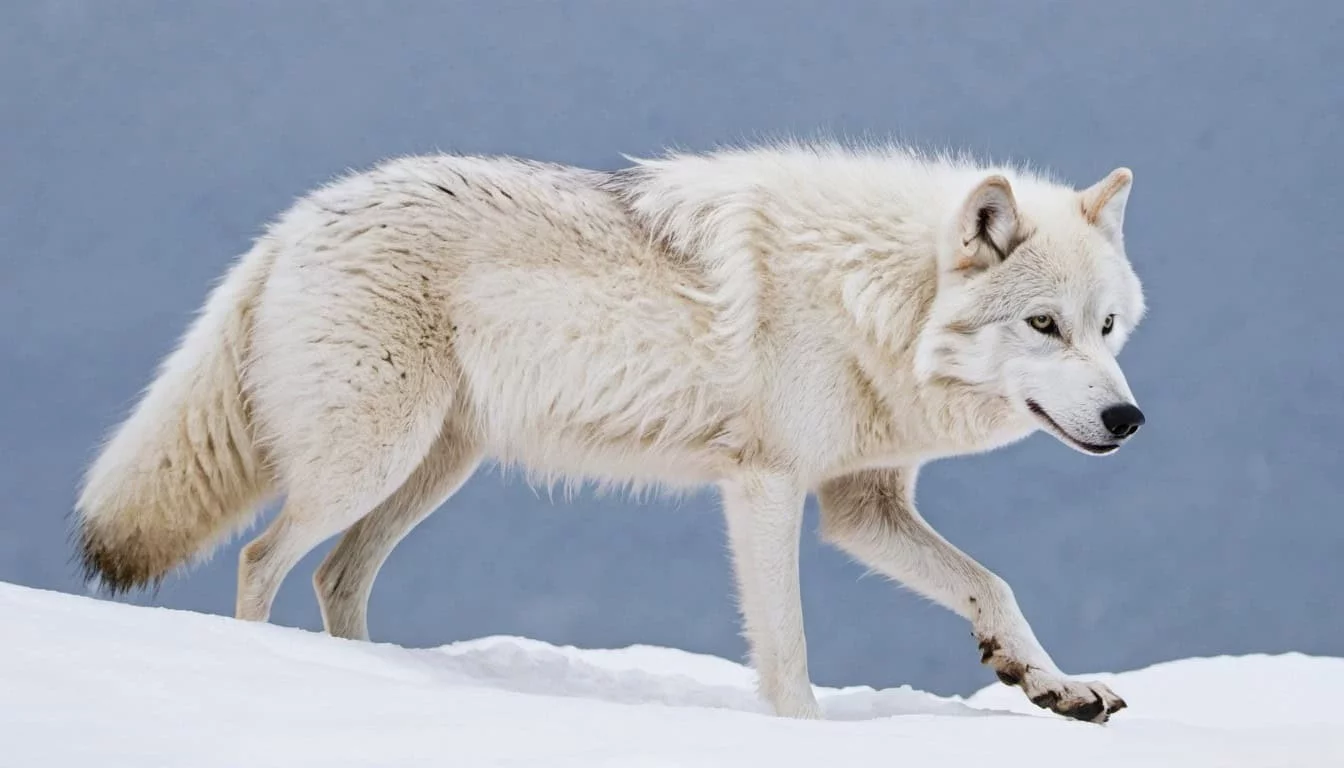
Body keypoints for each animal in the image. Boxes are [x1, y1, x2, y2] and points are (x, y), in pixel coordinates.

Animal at [76, 141, 1147, 723]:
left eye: (1107, 328)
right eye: (1041, 325)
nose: (1128, 419)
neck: (876, 297)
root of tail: (289, 226)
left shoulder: (859, 506)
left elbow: (991, 586)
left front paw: (1054, 685)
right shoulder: (765, 488)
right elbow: (788, 650)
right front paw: (803, 734)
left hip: (433, 470)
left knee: (337, 574)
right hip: (367, 461)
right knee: (261, 558)